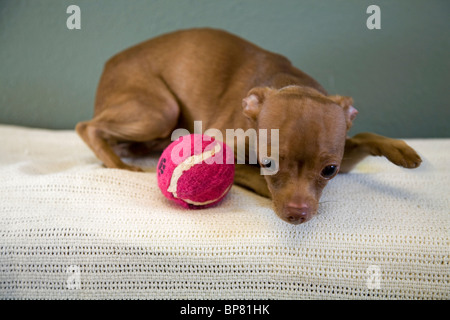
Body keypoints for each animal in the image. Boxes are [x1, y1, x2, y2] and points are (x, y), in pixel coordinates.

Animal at [76, 29, 422, 225]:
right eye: (268, 163)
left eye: (330, 170)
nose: (298, 214)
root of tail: (109, 65)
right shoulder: (227, 151)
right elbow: (256, 178)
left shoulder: (346, 158)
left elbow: (361, 135)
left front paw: (401, 150)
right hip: (160, 111)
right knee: (86, 127)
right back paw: (119, 164)